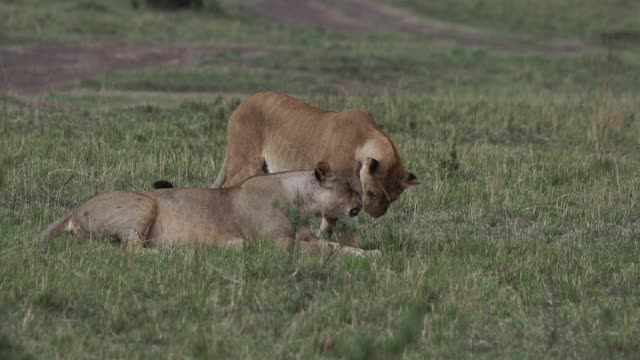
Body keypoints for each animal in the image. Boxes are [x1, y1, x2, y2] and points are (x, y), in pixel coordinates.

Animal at [42, 162, 370, 255]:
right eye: (349, 188)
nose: (361, 203)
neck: (301, 201)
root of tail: (74, 210)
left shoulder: (305, 236)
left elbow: (335, 246)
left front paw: (370, 254)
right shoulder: (276, 244)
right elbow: (322, 250)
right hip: (145, 202)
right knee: (129, 250)